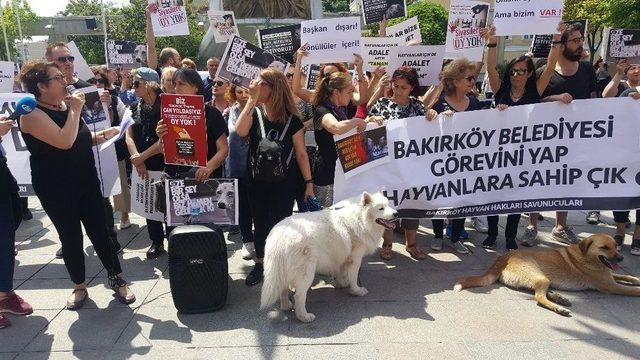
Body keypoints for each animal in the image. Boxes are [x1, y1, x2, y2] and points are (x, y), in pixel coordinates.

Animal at [258, 193, 396, 322]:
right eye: (381, 208)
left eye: (388, 205)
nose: (396, 213)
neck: (360, 219)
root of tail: (280, 235)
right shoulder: (355, 259)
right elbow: (353, 277)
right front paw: (356, 290)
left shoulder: (341, 257)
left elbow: (341, 273)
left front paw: (341, 284)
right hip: (306, 272)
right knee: (299, 296)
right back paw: (304, 317)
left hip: (284, 270)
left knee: (283, 288)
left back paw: (286, 306)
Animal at [456, 233, 640, 316]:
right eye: (604, 247)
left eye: (615, 245)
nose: (621, 258)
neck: (585, 255)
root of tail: (502, 258)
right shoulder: (610, 285)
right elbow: (632, 290)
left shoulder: (609, 276)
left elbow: (624, 277)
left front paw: (635, 278)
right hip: (540, 276)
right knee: (538, 297)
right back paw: (559, 307)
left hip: (541, 278)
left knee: (537, 291)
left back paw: (560, 298)